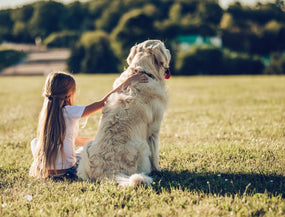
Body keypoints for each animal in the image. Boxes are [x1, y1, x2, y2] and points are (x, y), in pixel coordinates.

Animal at [76, 39, 171, 186]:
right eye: (165, 47)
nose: (169, 51)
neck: (142, 71)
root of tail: (109, 172)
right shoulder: (154, 129)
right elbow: (155, 154)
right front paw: (159, 170)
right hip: (143, 147)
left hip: (86, 148)